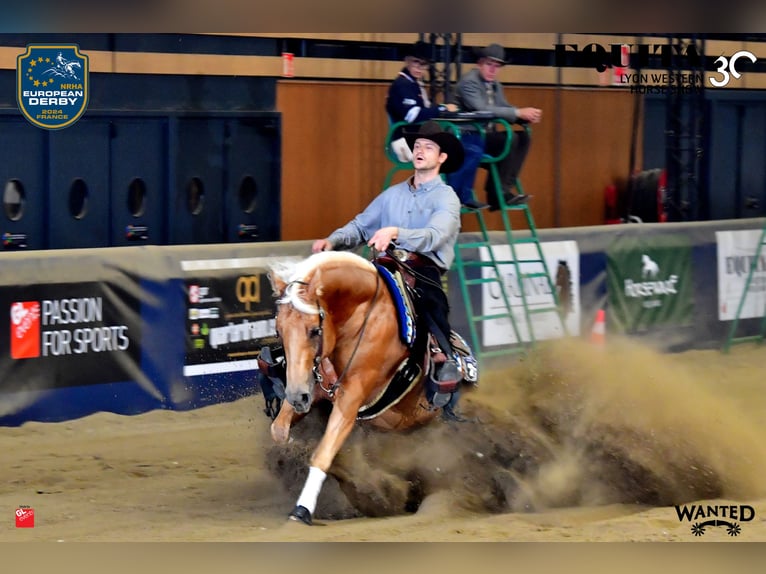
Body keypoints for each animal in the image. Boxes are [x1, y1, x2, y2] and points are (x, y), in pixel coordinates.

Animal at [268, 252, 464, 528]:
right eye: (279, 331)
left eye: (314, 330)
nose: (297, 397)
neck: (360, 318)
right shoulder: (313, 390)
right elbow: (280, 431)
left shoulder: (351, 398)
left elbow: (323, 453)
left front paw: (302, 509)